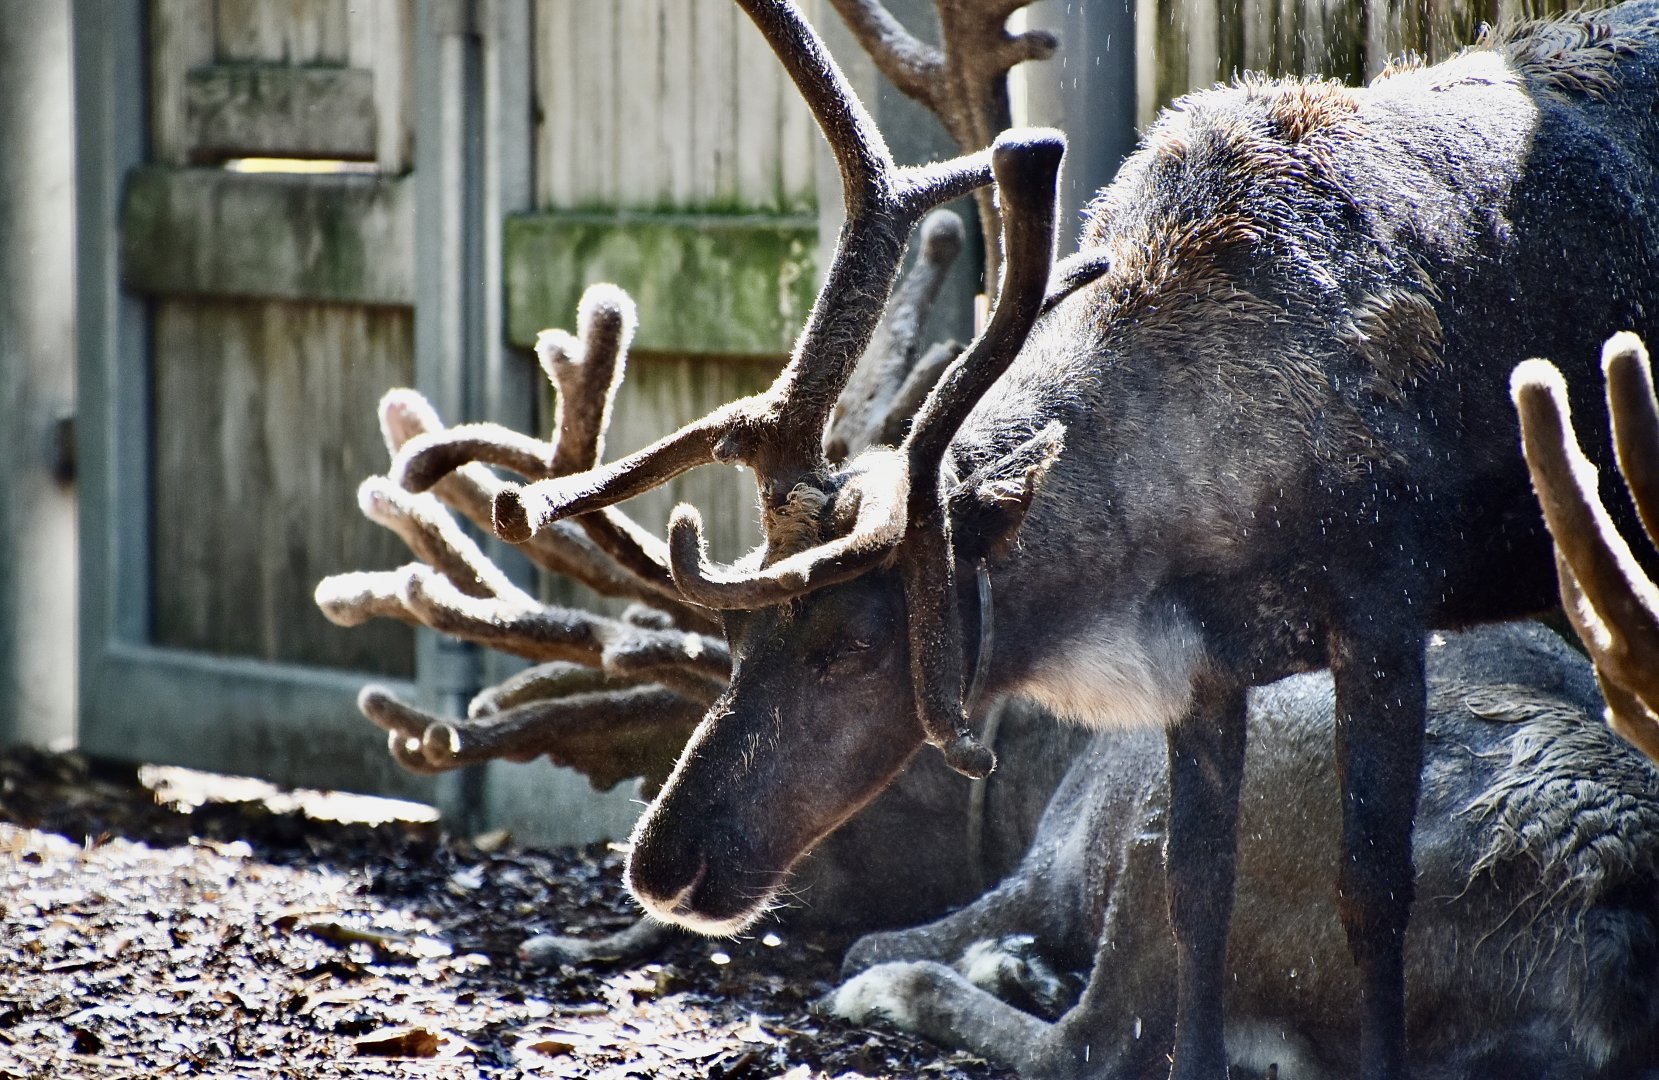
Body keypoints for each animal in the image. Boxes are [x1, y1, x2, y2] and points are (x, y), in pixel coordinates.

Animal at [362, 1, 1659, 1076]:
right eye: (744, 638)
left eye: (850, 648)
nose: (659, 863)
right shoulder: (1211, 667)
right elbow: (1198, 893)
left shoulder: (1382, 608)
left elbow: (1366, 895)